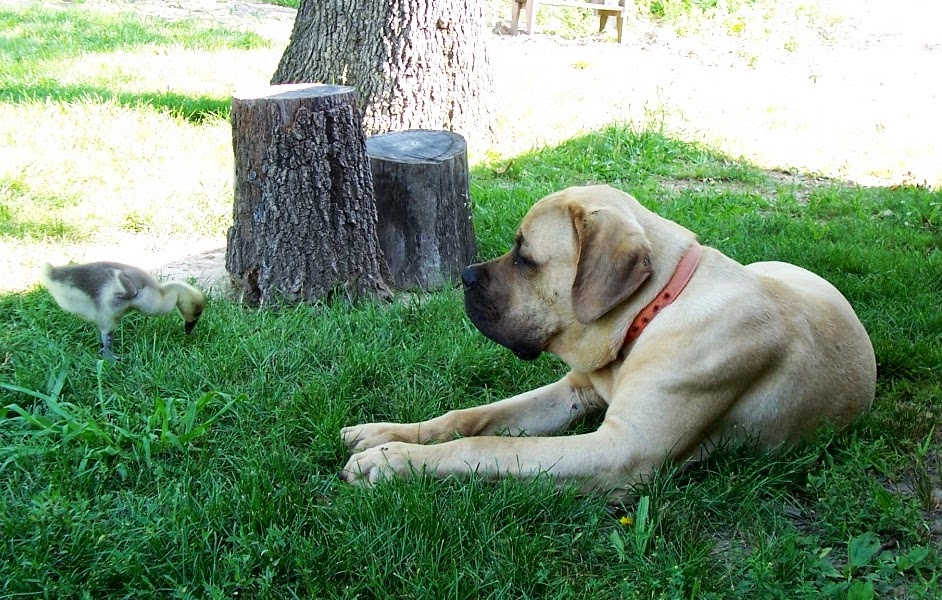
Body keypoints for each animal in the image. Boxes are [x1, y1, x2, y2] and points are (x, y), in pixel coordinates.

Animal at [340, 185, 876, 499]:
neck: (652, 311)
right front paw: (385, 433)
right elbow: (471, 417)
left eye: (525, 257)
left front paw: (393, 462)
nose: (465, 278)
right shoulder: (573, 391)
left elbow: (486, 446)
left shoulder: (622, 450)